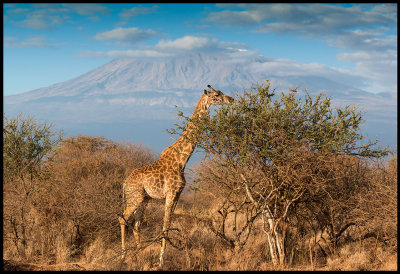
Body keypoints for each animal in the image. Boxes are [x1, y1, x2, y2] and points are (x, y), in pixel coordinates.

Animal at [118, 85, 234, 266]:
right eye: (217, 95)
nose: (231, 99)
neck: (182, 159)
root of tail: (124, 183)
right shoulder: (171, 193)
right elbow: (165, 226)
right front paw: (161, 261)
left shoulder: (178, 194)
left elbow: (169, 223)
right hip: (134, 197)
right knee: (122, 218)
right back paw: (123, 257)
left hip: (144, 199)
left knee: (136, 225)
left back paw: (140, 257)